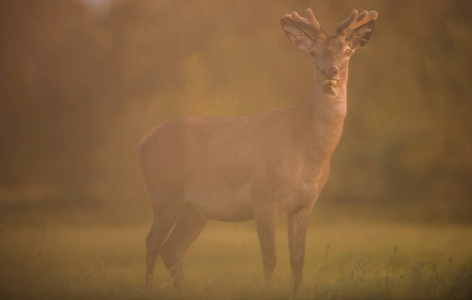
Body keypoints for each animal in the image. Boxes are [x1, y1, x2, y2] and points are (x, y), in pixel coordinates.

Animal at [139, 7, 376, 292]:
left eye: (348, 51)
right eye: (314, 52)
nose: (330, 71)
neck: (305, 150)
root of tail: (143, 141)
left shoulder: (305, 205)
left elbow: (298, 261)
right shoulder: (263, 197)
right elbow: (270, 259)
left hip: (194, 209)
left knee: (172, 250)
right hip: (165, 194)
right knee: (152, 242)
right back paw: (149, 289)